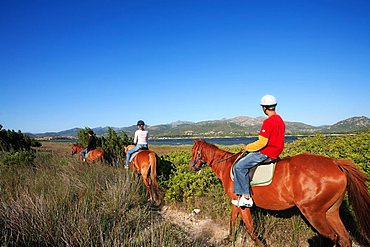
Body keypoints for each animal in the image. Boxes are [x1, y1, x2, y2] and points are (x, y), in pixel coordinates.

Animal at [191, 139, 370, 247]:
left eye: (193, 151)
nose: (190, 167)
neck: (228, 166)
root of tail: (335, 162)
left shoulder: (242, 204)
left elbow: (250, 228)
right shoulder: (236, 202)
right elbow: (233, 221)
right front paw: (228, 239)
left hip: (314, 213)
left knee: (332, 237)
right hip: (331, 211)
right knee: (345, 239)